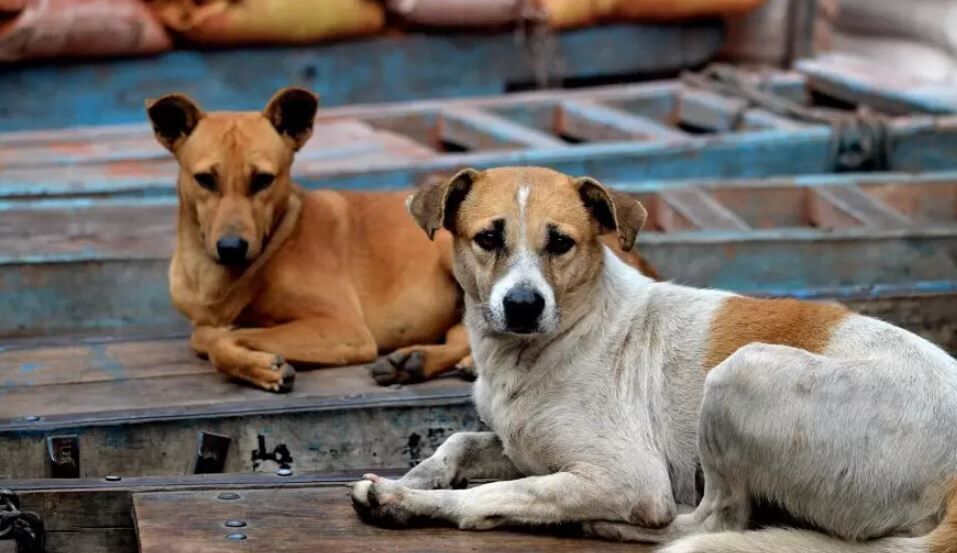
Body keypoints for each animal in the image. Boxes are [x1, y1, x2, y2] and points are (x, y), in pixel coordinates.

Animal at [148, 86, 656, 390]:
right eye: (205, 179)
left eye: (263, 180)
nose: (231, 248)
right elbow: (208, 334)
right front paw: (253, 359)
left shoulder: (343, 329)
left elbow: (215, 338)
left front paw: (257, 361)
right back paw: (416, 360)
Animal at [352, 166, 956, 548]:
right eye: (488, 239)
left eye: (561, 243)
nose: (523, 306)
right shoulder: (524, 447)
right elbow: (458, 443)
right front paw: (419, 478)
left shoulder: (628, 477)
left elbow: (494, 494)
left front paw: (404, 501)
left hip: (740, 374)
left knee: (717, 522)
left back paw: (608, 527)